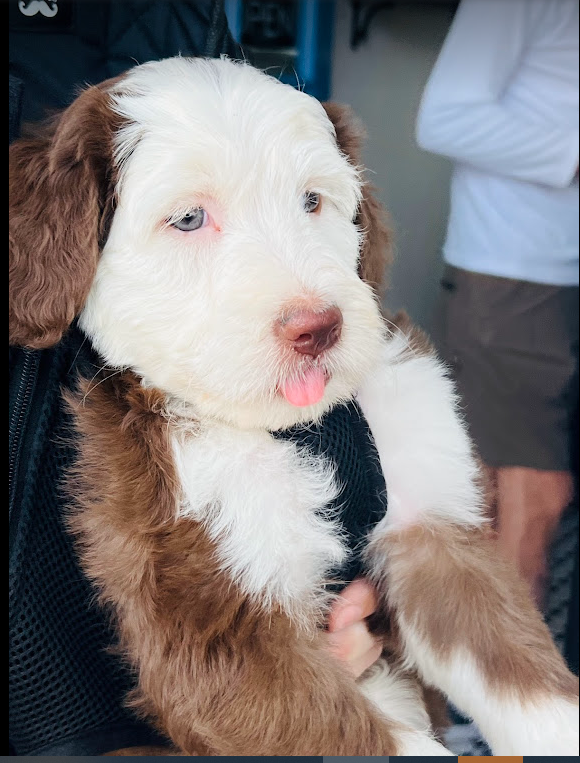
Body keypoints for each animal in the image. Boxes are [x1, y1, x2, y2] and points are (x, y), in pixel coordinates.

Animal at [7, 56, 576, 756]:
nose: (317, 327)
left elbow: (525, 677)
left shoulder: (434, 538)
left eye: (312, 201)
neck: (291, 428)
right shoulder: (208, 614)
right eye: (189, 219)